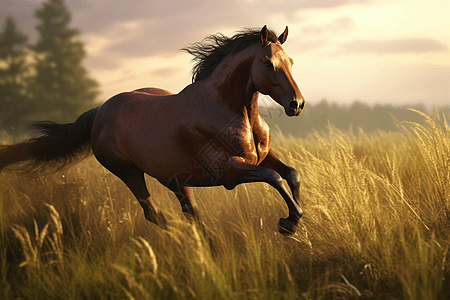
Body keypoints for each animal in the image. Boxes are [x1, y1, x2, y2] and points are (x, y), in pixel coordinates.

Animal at [0, 25, 306, 236]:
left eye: (291, 62)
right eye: (268, 63)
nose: (297, 104)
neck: (228, 109)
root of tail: (99, 111)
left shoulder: (263, 157)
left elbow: (291, 174)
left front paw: (294, 220)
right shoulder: (228, 171)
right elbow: (275, 178)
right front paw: (288, 222)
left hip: (176, 179)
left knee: (190, 213)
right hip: (129, 172)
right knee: (155, 214)